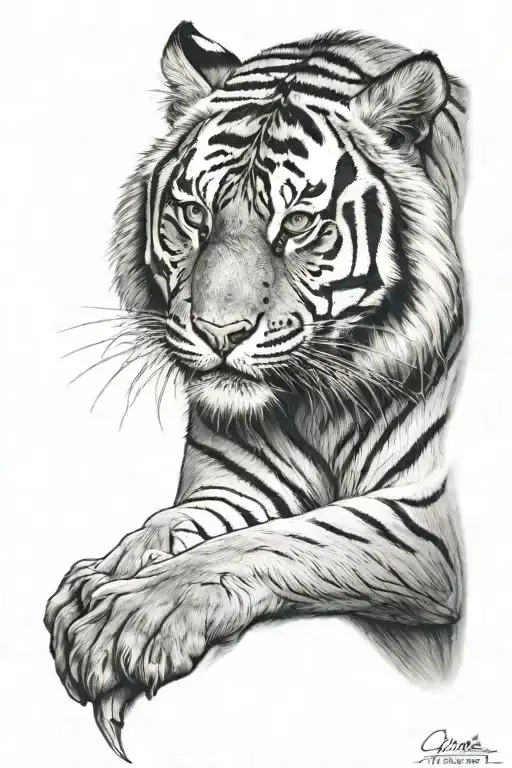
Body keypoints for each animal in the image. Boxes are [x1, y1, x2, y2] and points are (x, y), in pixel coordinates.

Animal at [45, 22, 468, 763]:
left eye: (297, 225)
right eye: (192, 214)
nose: (219, 332)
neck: (319, 398)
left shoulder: (428, 513)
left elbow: (287, 540)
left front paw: (128, 616)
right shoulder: (235, 483)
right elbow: (176, 525)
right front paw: (107, 573)